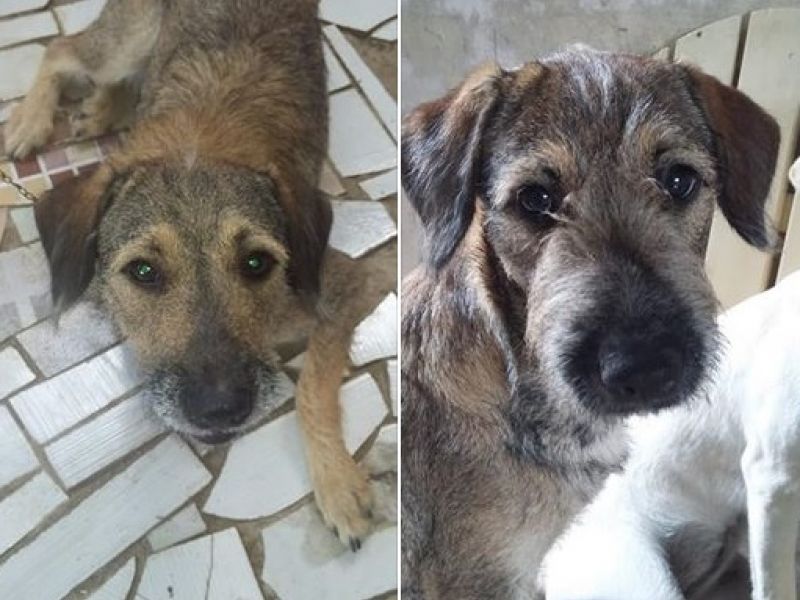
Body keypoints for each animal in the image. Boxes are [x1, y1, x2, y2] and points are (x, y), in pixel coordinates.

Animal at [4, 0, 378, 549]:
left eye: (257, 263)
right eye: (143, 271)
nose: (219, 410)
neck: (196, 147)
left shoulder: (349, 283)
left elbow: (313, 385)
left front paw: (337, 483)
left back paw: (104, 109)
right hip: (128, 39)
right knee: (62, 48)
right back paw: (32, 120)